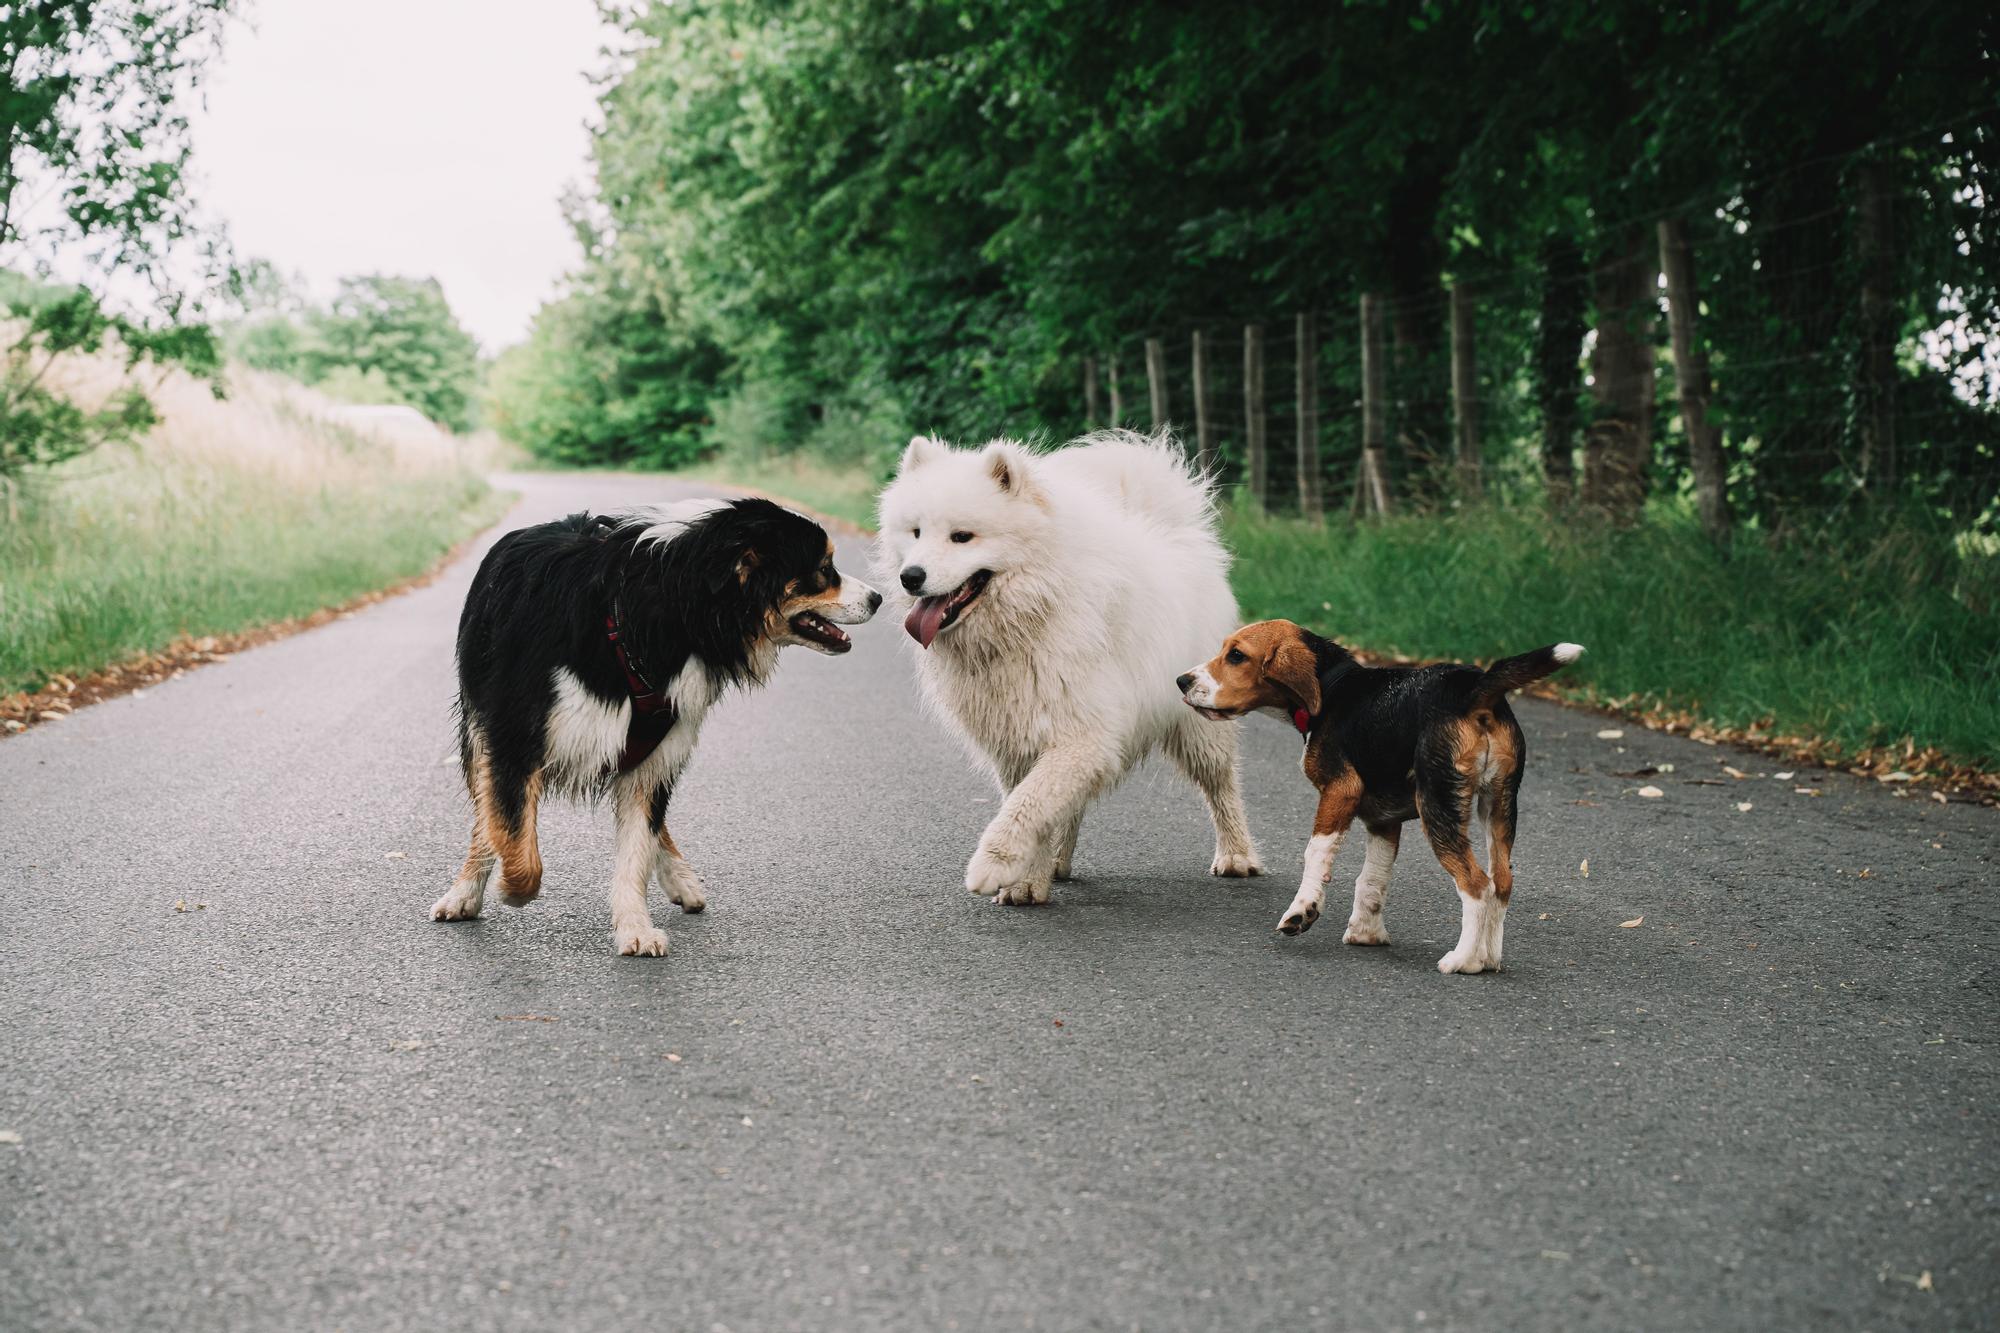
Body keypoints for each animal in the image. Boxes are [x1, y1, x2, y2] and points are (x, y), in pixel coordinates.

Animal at [434, 492, 880, 948]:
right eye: (823, 569)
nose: (878, 598)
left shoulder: (656, 754)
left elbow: (636, 851)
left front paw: (635, 926)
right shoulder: (513, 740)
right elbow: (515, 840)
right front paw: (510, 887)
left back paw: (681, 880)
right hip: (479, 724)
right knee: (485, 814)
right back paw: (464, 893)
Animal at [880, 428, 1256, 904]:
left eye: (962, 536)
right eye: (915, 532)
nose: (910, 576)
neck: (1035, 611)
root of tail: (1174, 531)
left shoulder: (1082, 734)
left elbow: (1029, 803)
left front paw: (995, 865)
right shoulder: (1019, 739)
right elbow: (1035, 802)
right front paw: (1026, 879)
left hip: (1198, 726)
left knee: (1221, 785)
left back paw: (1237, 855)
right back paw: (1058, 861)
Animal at [1168, 616, 1576, 972]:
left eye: (1236, 655)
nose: (1182, 681)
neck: (1332, 686)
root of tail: (1473, 687)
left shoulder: (1340, 791)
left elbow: (1315, 853)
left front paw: (1302, 910)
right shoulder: (1383, 820)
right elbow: (1372, 879)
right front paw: (1365, 933)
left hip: (1438, 806)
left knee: (1476, 884)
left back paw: (1463, 961)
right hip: (1500, 804)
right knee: (1501, 883)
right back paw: (1488, 958)